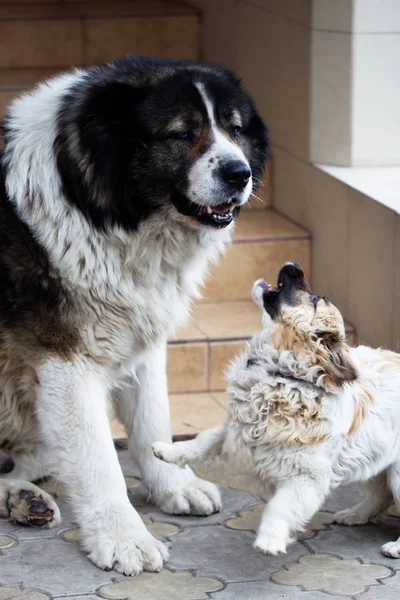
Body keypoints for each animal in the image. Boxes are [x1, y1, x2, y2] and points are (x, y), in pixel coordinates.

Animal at [0, 54, 270, 576]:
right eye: (181, 133)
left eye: (235, 129)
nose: (239, 173)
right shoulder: (65, 363)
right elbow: (100, 460)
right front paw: (124, 536)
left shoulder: (136, 335)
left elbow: (153, 421)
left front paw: (174, 487)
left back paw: (24, 498)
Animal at [154, 264, 400, 560]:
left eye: (315, 299)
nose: (293, 265)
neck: (282, 376)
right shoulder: (238, 427)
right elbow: (203, 440)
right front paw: (168, 451)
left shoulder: (306, 477)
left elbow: (280, 507)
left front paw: (270, 539)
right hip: (375, 459)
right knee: (381, 494)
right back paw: (355, 514)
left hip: (396, 472)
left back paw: (395, 545)